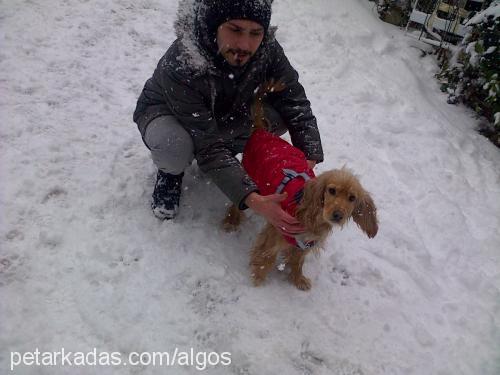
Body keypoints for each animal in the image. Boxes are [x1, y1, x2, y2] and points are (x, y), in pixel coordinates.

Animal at [223, 81, 378, 290]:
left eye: (352, 198)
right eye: (331, 190)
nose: (337, 215)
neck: (312, 217)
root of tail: (261, 131)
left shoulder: (304, 245)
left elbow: (297, 261)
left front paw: (298, 279)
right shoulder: (275, 232)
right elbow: (266, 256)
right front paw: (258, 278)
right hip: (249, 178)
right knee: (238, 201)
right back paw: (232, 221)